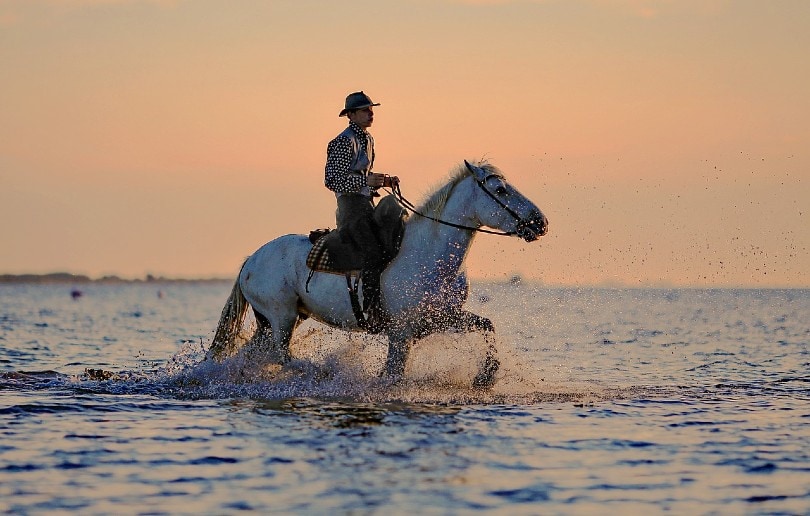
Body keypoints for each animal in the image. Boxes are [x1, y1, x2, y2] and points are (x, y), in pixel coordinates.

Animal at [208, 160, 548, 387]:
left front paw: (485, 376)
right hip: (282, 317)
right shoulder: (401, 333)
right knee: (280, 356)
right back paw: (321, 372)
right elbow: (394, 374)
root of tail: (251, 260)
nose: (540, 222)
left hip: (275, 320)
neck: (430, 256)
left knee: (256, 354)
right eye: (500, 189)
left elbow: (487, 325)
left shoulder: (441, 318)